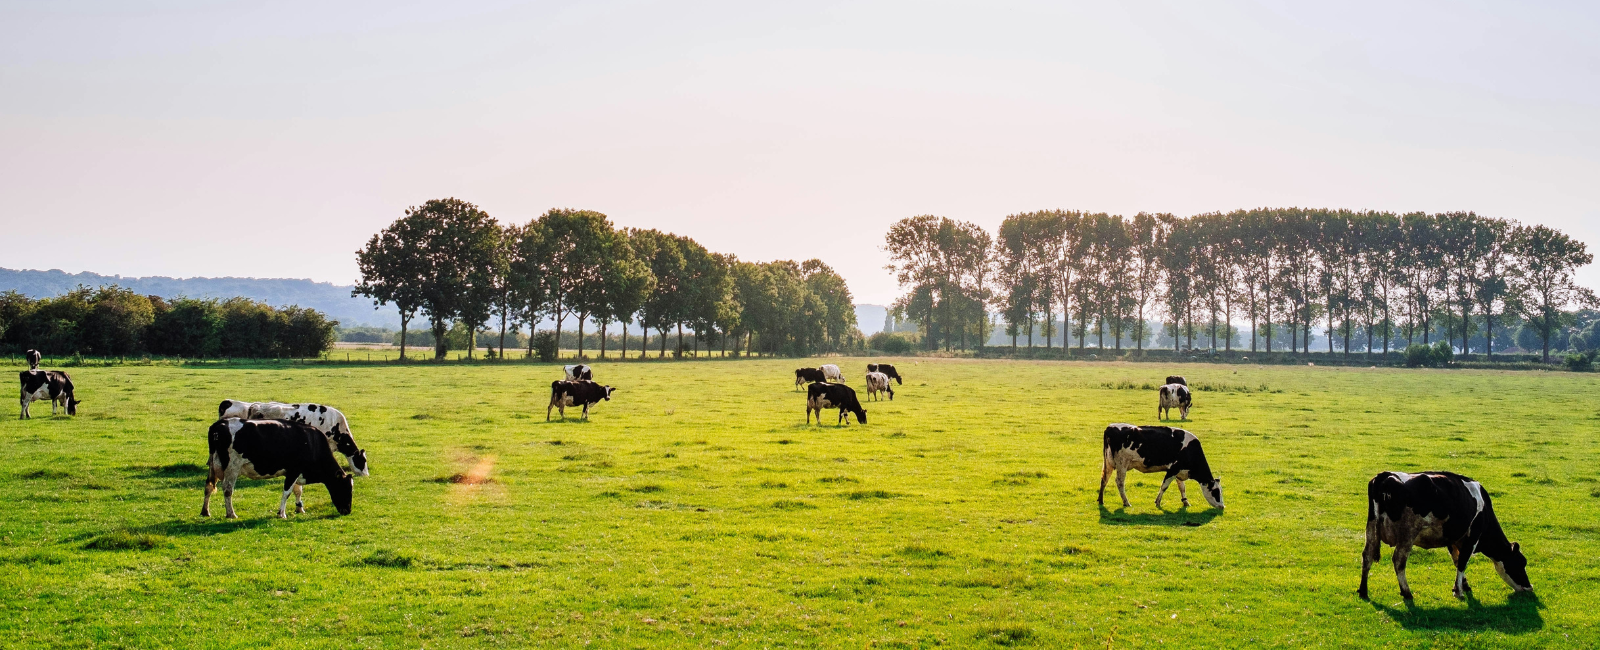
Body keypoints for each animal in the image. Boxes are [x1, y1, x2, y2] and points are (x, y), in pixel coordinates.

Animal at [203, 418, 354, 519]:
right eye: (345, 488)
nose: (347, 510)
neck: (312, 443)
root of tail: (219, 424)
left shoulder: (295, 473)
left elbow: (297, 490)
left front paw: (300, 509)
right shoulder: (294, 470)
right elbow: (287, 492)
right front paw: (281, 513)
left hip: (212, 465)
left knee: (209, 486)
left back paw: (205, 511)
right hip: (232, 467)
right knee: (227, 490)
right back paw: (231, 514)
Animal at [1359, 471, 1533, 601]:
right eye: (1520, 563)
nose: (1529, 587)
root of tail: (1386, 475)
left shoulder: (1453, 539)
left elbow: (1456, 560)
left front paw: (1463, 585)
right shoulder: (1472, 538)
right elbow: (1462, 562)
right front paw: (1459, 592)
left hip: (1371, 528)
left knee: (1367, 556)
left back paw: (1363, 591)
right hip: (1407, 534)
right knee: (1398, 561)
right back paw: (1407, 592)